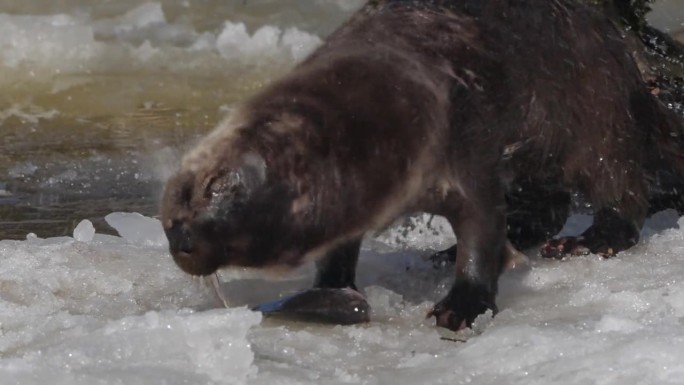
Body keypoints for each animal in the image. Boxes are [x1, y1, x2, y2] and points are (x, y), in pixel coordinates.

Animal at [162, 0, 684, 330]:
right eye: (168, 215)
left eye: (215, 196)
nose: (179, 243)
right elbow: (340, 245)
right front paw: (329, 290)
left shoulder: (464, 143)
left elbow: (480, 225)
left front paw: (462, 307)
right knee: (547, 206)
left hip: (596, 114)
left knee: (621, 191)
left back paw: (586, 241)